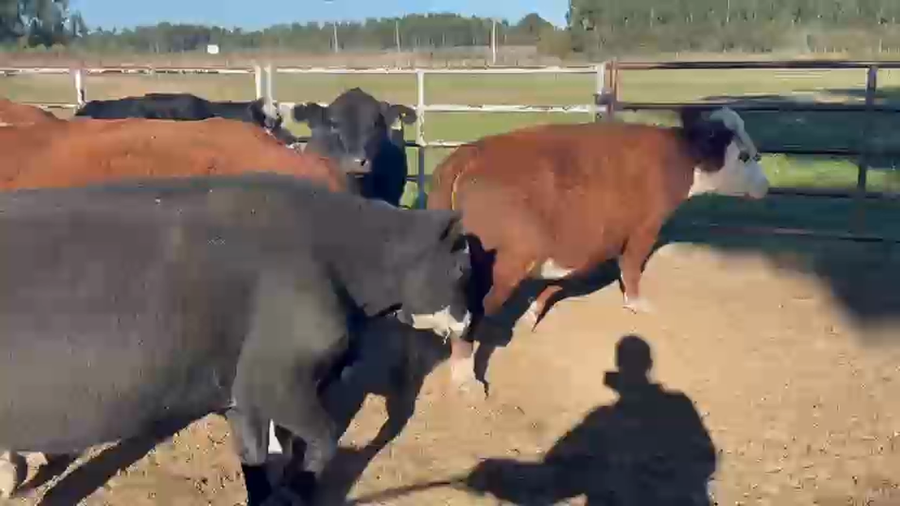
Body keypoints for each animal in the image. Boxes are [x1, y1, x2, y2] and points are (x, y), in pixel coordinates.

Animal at [0, 173, 472, 505]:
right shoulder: (279, 383)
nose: (469, 320)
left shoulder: (242, 394)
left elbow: (257, 463)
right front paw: (297, 491)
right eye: (462, 267)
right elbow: (321, 441)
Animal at [428, 107, 770, 394]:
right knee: (470, 316)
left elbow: (557, 283)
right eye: (745, 156)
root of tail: (469, 153)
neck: (677, 157)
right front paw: (636, 303)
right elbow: (631, 267)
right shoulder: (644, 228)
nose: (765, 187)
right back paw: (465, 377)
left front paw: (532, 315)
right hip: (505, 265)